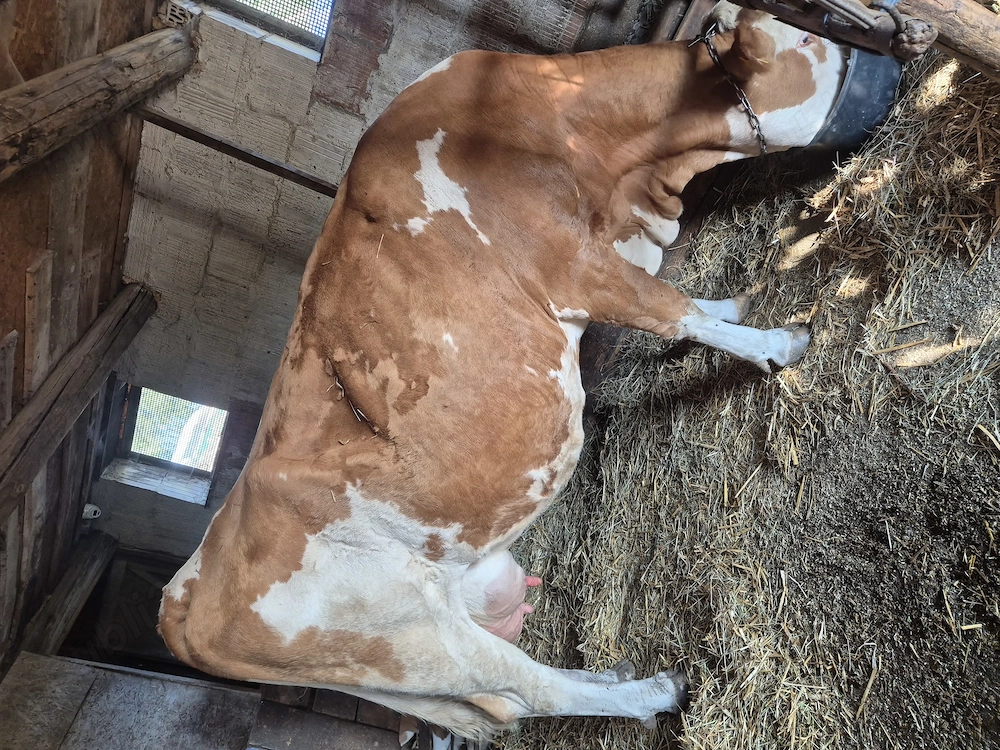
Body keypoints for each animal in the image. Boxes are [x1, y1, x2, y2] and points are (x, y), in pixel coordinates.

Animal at [159, 2, 847, 741]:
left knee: (500, 702)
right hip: (409, 634)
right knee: (527, 691)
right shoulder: (575, 263)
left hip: (407, 653)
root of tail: (181, 597)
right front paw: (781, 341)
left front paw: (738, 301)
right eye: (809, 42)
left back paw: (608, 676)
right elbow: (672, 310)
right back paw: (654, 691)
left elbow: (685, 307)